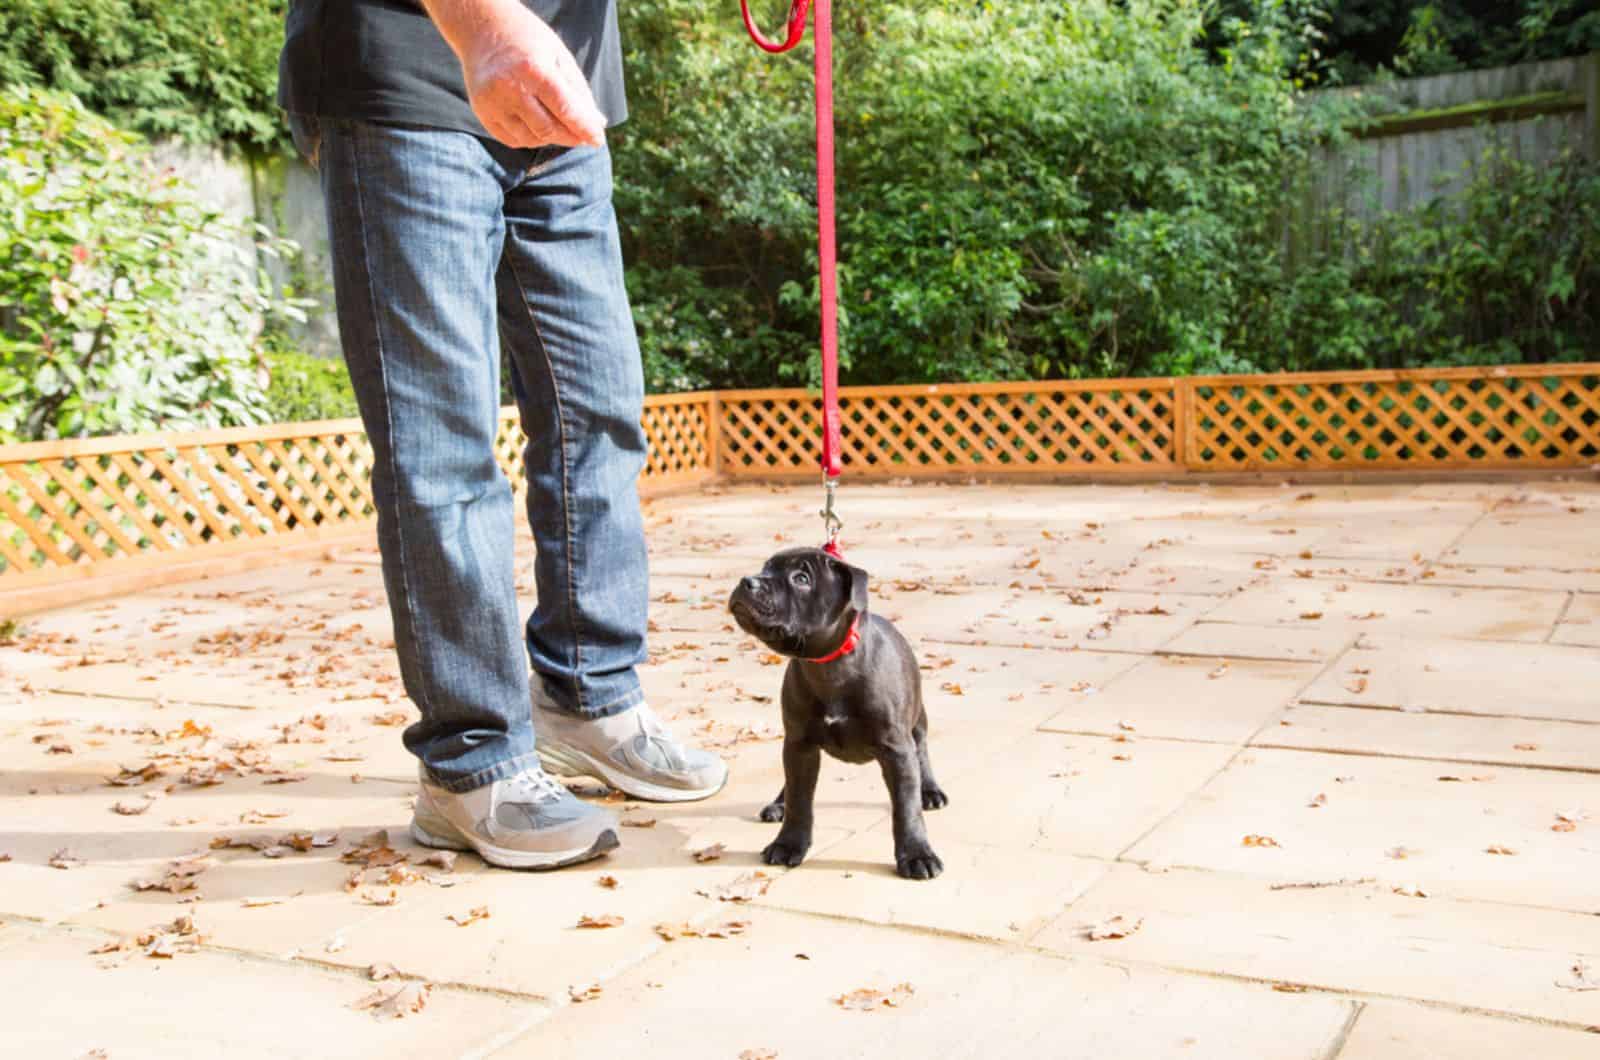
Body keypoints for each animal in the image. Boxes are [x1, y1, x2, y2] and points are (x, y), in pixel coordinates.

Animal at [729, 547, 940, 877]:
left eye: (801, 579)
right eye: (765, 568)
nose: (747, 581)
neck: (828, 665)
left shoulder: (897, 749)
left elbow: (906, 808)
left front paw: (918, 854)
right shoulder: (799, 744)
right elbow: (800, 800)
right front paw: (788, 844)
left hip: (917, 718)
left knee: (922, 749)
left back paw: (929, 790)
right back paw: (779, 803)